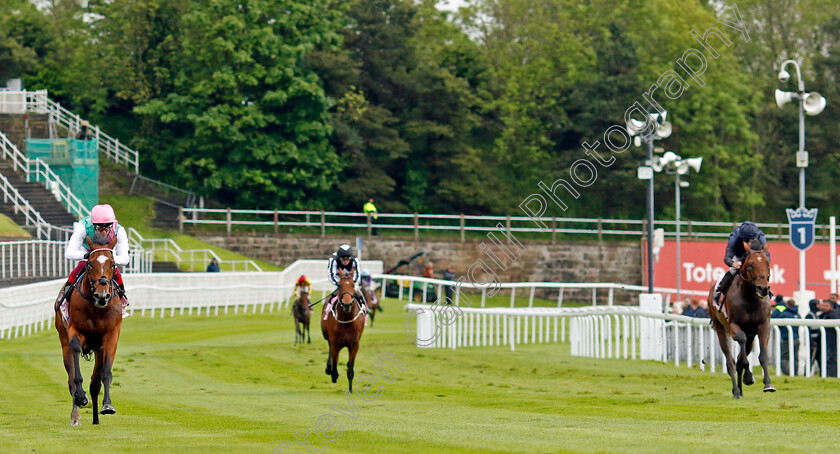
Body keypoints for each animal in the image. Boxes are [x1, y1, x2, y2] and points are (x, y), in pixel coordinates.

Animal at [54, 238, 122, 426]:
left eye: (113, 264)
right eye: (90, 264)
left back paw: (96, 419)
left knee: (94, 384)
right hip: (63, 339)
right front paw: (80, 396)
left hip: (98, 349)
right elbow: (75, 372)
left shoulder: (111, 336)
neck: (96, 307)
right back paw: (76, 416)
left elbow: (104, 374)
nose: (102, 296)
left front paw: (107, 406)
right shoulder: (74, 331)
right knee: (71, 377)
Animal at [704, 239, 776, 400]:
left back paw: (740, 390)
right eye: (750, 265)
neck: (749, 297)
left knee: (738, 359)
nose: (763, 289)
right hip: (720, 329)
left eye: (768, 264)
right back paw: (736, 391)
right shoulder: (734, 326)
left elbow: (762, 356)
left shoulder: (763, 326)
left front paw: (768, 384)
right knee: (731, 361)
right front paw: (749, 377)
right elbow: (741, 349)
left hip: (751, 337)